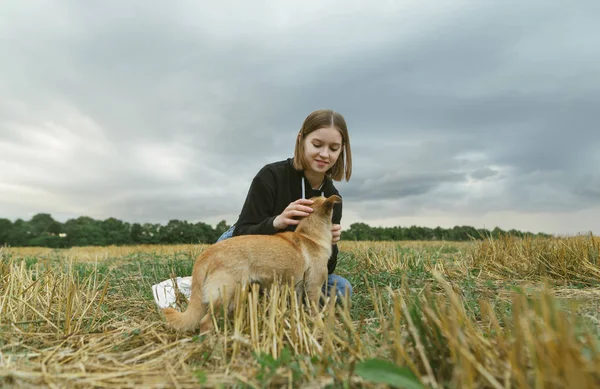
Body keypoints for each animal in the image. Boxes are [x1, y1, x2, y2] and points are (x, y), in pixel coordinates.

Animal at [163, 193, 342, 330]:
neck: (310, 236)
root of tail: (207, 253)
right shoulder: (314, 287)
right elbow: (316, 311)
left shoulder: (297, 288)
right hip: (228, 293)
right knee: (205, 322)